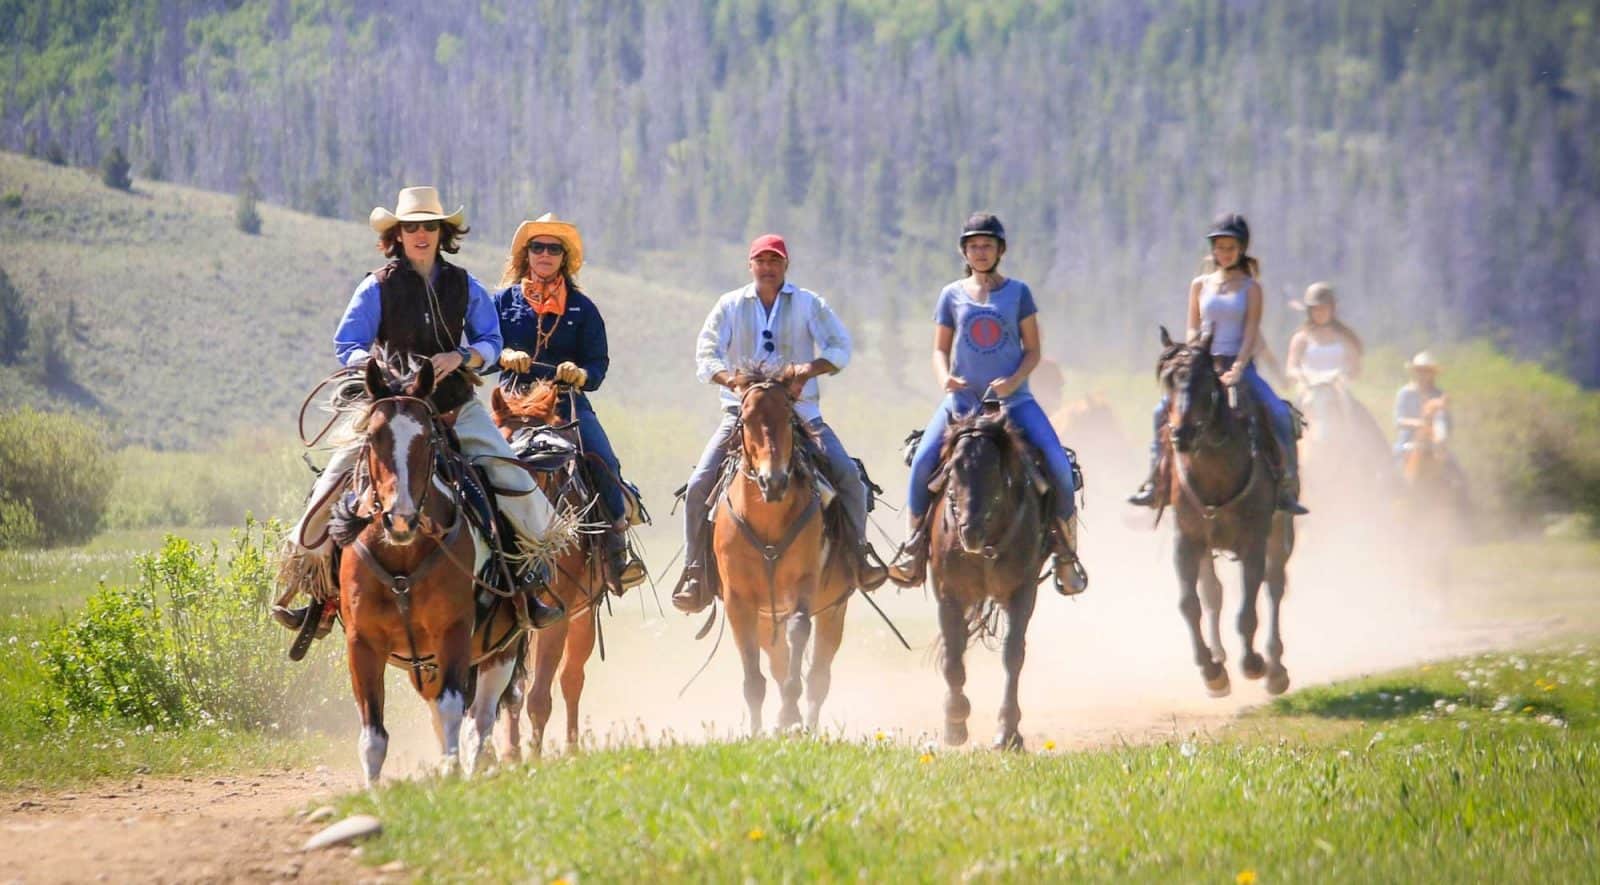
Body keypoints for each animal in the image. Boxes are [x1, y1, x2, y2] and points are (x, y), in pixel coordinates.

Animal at [340, 355, 521, 784]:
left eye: (427, 440)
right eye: (374, 437)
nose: (400, 519)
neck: (403, 558)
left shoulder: (453, 631)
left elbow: (452, 708)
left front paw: (451, 774)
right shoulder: (362, 642)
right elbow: (372, 734)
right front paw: (373, 790)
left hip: (501, 650)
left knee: (480, 718)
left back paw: (472, 766)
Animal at [483, 382, 601, 755]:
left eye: (548, 465)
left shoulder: (559, 612)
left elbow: (539, 696)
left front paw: (533, 756)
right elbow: (511, 692)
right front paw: (510, 753)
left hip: (584, 615)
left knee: (571, 678)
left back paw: (573, 748)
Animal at [720, 366, 857, 732]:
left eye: (788, 417)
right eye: (745, 419)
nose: (774, 481)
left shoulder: (804, 585)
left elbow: (799, 633)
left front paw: (788, 716)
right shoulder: (738, 600)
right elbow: (754, 677)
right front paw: (755, 731)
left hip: (833, 610)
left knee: (819, 675)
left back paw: (805, 724)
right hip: (768, 618)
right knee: (779, 663)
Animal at [928, 404, 1049, 745]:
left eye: (995, 469)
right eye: (954, 467)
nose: (970, 530)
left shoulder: (1023, 591)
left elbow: (1013, 654)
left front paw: (1008, 731)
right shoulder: (947, 593)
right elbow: (953, 655)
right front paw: (955, 720)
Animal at [1164, 329, 1299, 697]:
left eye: (1204, 381)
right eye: (1168, 381)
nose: (1180, 434)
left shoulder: (1254, 540)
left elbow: (1247, 610)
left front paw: (1253, 664)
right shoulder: (1186, 541)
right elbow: (1189, 603)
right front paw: (1212, 671)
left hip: (1281, 531)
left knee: (1274, 586)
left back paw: (1275, 669)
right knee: (1213, 593)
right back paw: (1219, 655)